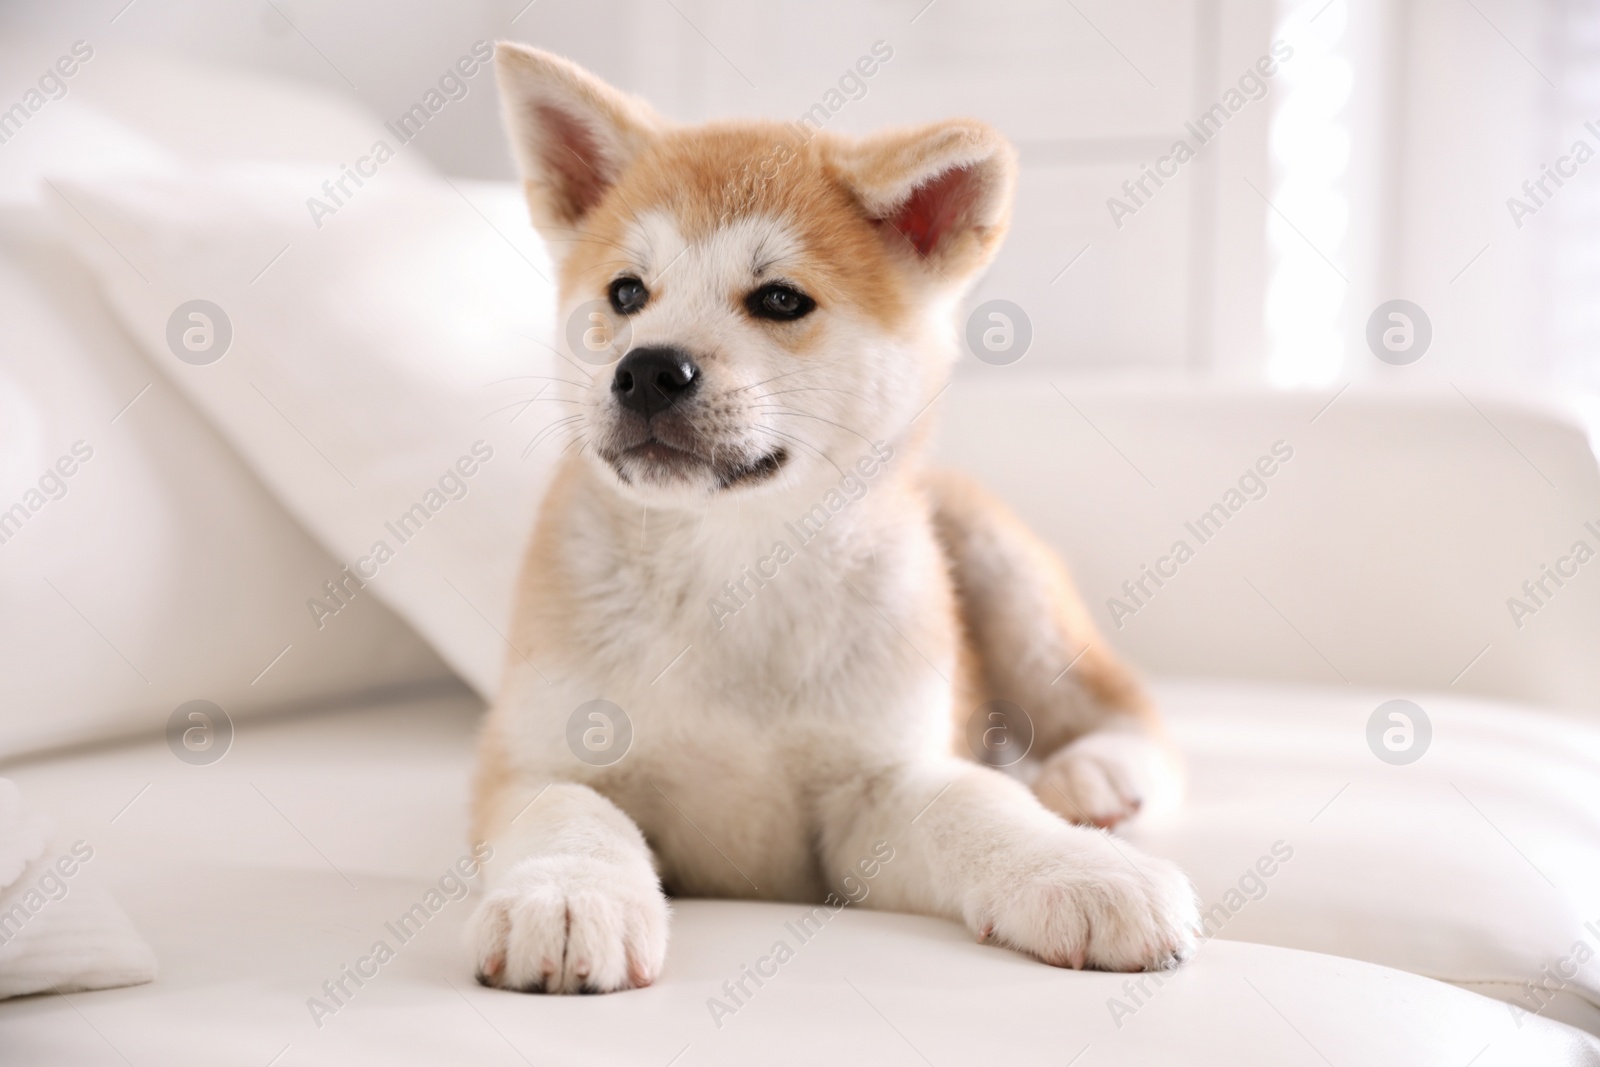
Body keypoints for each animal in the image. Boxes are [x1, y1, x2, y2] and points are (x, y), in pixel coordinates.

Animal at [467, 41, 1196, 991]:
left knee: (1126, 709)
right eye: (627, 293)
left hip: (1002, 572)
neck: (734, 575)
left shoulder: (874, 790)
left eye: (779, 299)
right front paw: (565, 894)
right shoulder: (530, 757)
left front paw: (1078, 867)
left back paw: (1097, 779)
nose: (647, 370)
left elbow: (978, 802)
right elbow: (568, 807)